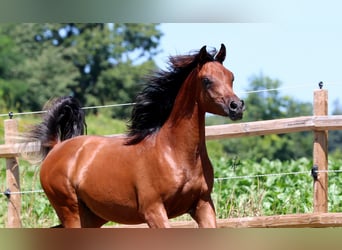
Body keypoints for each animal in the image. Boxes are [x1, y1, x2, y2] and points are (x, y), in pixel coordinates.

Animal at [28, 44, 244, 228]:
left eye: (231, 77)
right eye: (206, 80)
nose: (237, 106)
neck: (175, 153)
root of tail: (56, 147)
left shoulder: (203, 205)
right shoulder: (153, 210)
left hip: (93, 216)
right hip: (71, 211)